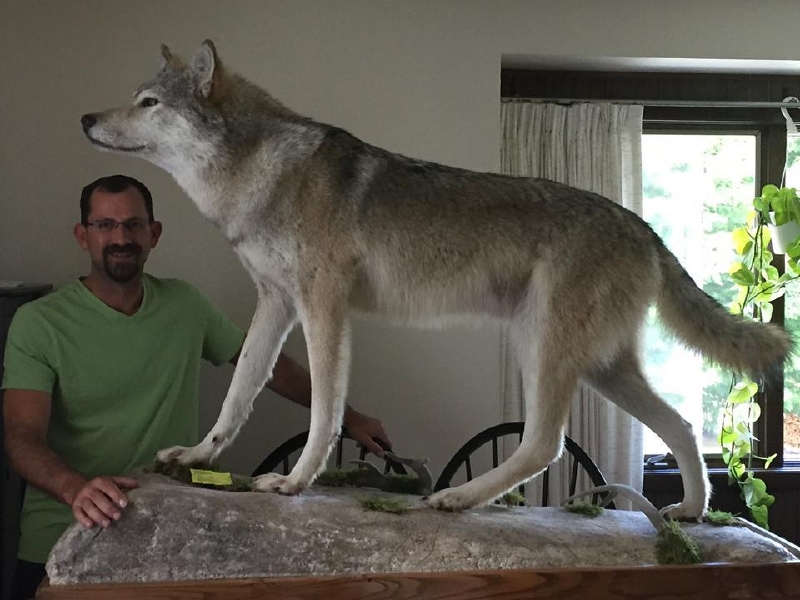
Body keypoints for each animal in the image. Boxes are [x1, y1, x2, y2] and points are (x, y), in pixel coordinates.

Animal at [80, 40, 791, 518]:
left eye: (148, 102)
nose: (86, 119)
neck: (258, 175)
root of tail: (646, 230)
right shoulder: (276, 304)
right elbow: (238, 393)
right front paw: (198, 458)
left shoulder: (324, 306)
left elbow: (325, 412)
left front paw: (293, 483)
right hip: (599, 368)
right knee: (681, 427)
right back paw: (690, 514)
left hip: (545, 350)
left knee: (547, 444)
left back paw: (458, 497)